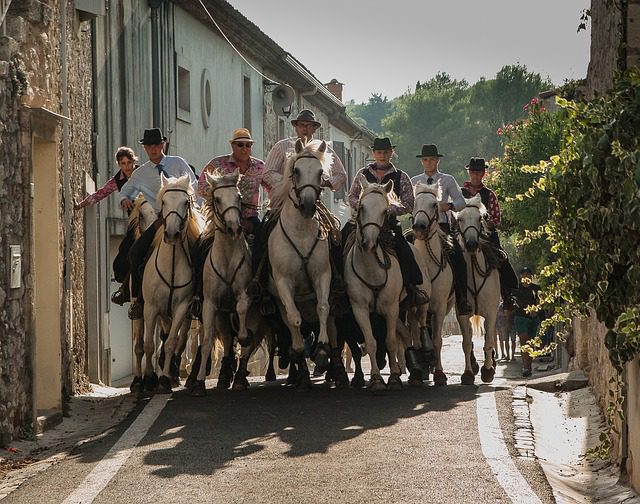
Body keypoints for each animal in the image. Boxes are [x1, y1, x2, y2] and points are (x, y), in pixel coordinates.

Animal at [141, 174, 204, 393]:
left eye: (186, 202)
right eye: (164, 202)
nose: (171, 234)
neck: (171, 266)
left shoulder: (181, 308)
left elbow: (171, 343)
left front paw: (165, 379)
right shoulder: (151, 308)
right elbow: (149, 344)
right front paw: (149, 378)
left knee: (180, 338)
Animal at [267, 138, 347, 390]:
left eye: (321, 172)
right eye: (296, 171)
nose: (308, 205)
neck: (300, 232)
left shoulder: (323, 275)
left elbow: (323, 309)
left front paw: (321, 349)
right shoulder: (283, 282)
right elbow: (294, 319)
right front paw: (299, 354)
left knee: (330, 323)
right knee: (292, 322)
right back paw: (300, 372)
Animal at [344, 177, 411, 392]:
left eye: (384, 210)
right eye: (362, 207)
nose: (369, 243)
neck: (371, 269)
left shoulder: (391, 308)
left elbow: (390, 341)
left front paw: (394, 378)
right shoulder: (359, 308)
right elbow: (371, 342)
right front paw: (375, 379)